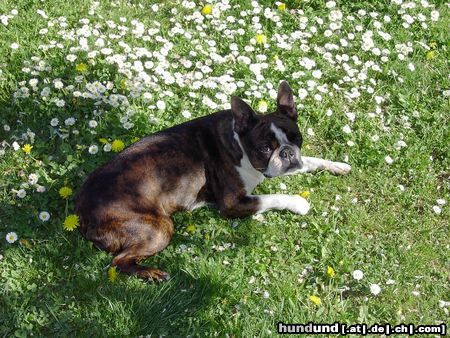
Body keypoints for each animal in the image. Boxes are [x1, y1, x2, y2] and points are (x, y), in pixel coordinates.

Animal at [75, 81, 352, 280]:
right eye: (264, 148)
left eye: (296, 138)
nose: (286, 152)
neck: (240, 144)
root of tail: (80, 210)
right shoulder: (233, 203)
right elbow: (273, 197)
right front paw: (299, 203)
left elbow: (310, 161)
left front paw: (336, 165)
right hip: (158, 227)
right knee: (118, 262)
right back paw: (151, 273)